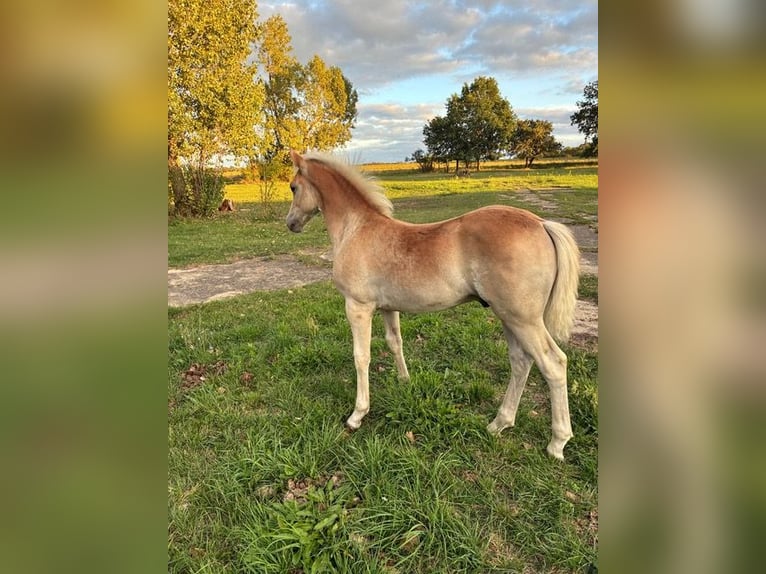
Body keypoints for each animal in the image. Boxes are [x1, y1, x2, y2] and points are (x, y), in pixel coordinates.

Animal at [285, 150, 580, 460]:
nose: (290, 223)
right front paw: (405, 382)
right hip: (508, 317)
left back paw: (556, 443)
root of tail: (542, 224)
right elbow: (395, 342)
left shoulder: (358, 306)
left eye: (293, 187)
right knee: (521, 362)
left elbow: (361, 356)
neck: (356, 230)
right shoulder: (388, 307)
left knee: (553, 364)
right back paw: (499, 423)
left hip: (523, 319)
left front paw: (357, 415)